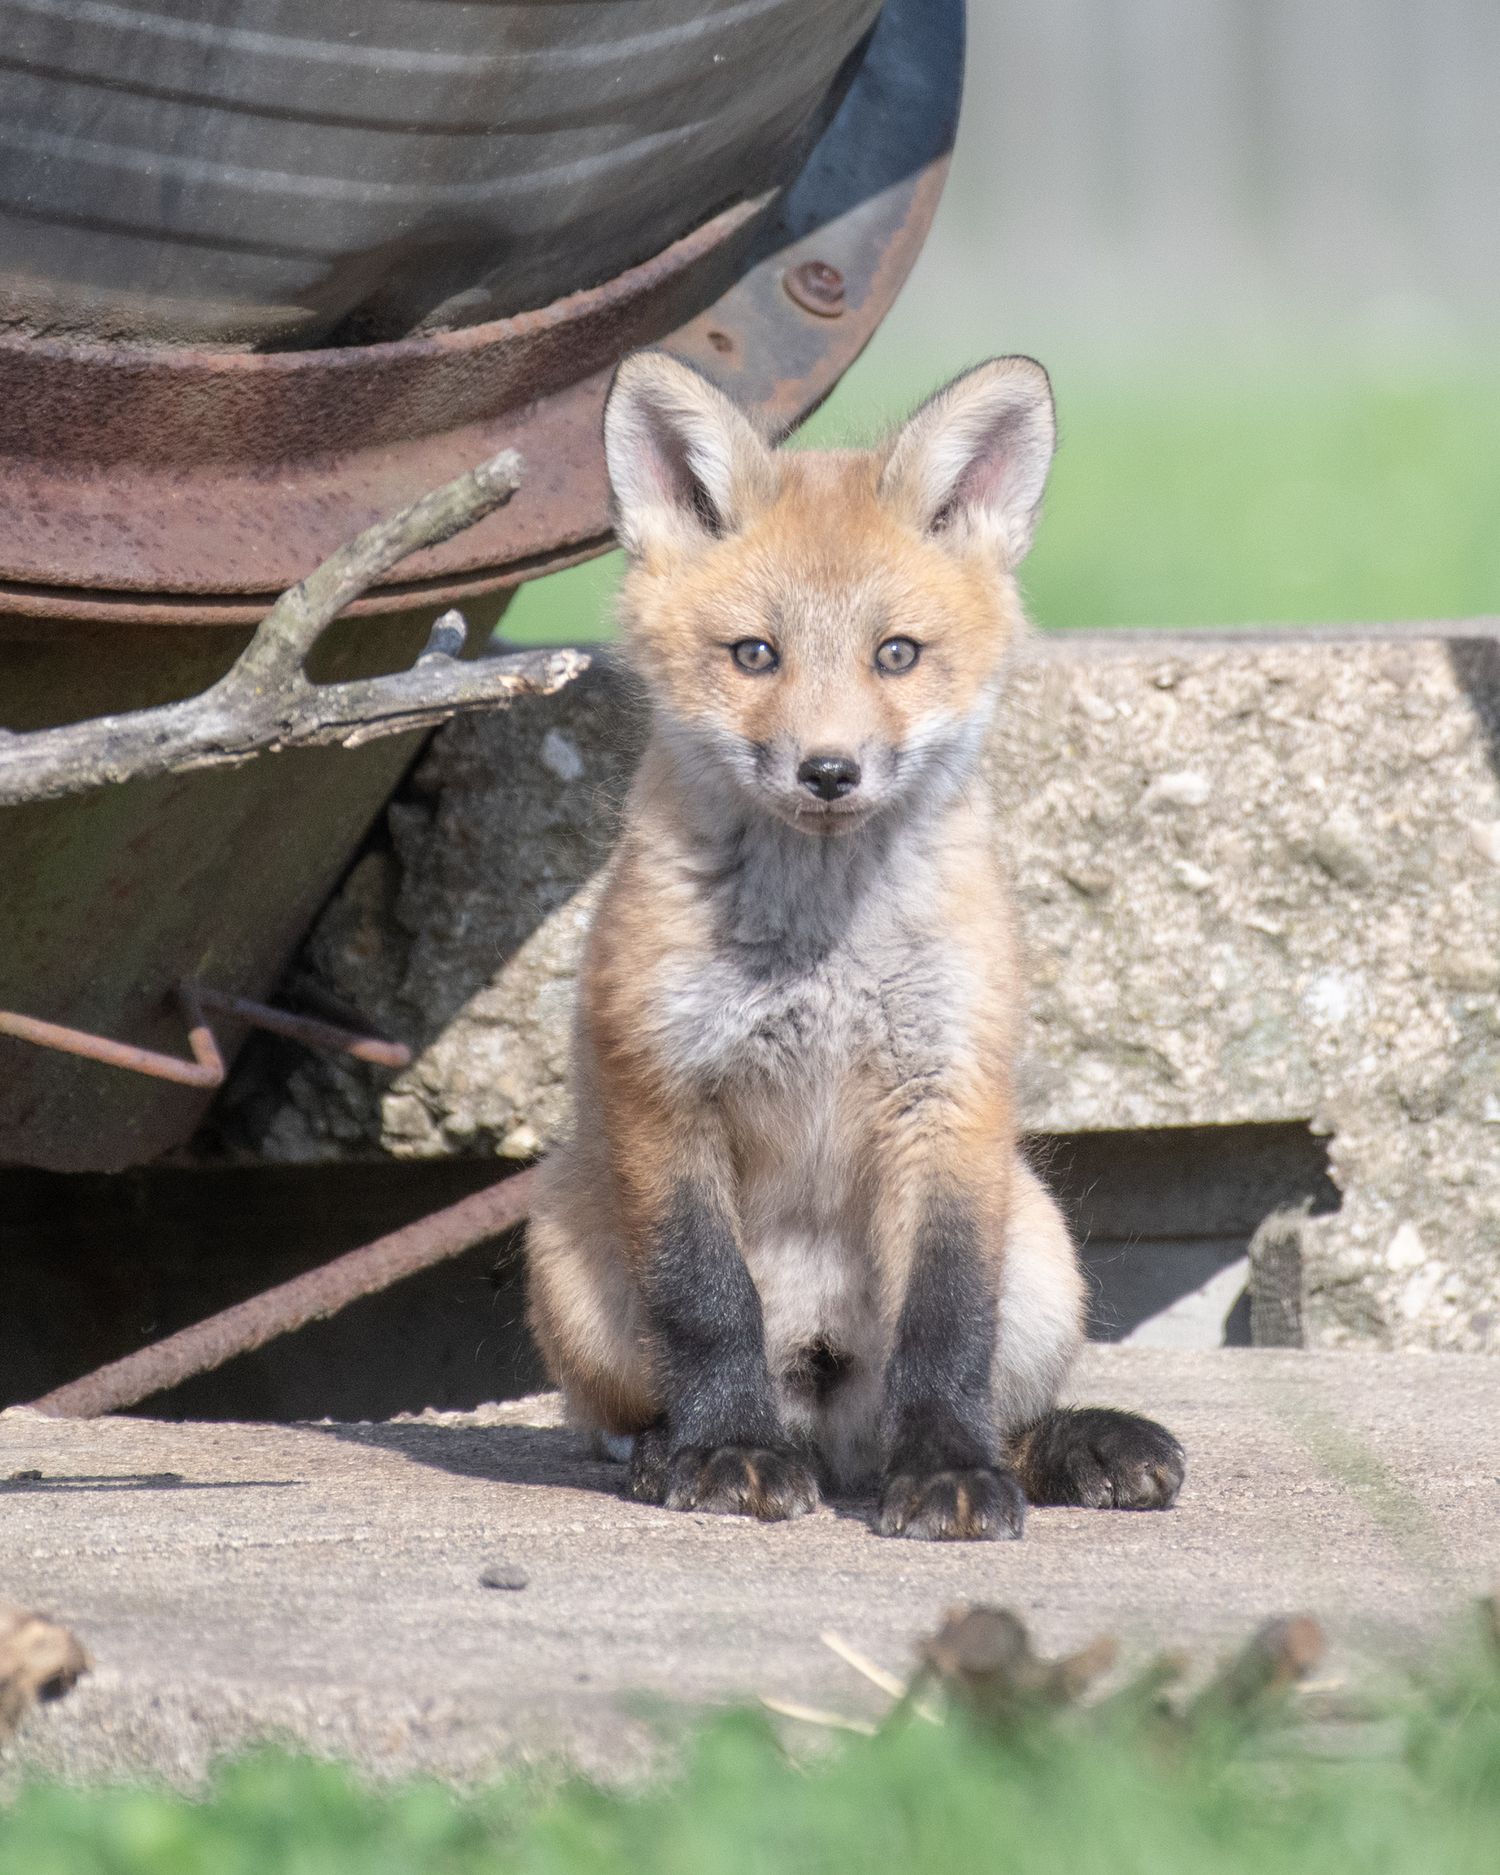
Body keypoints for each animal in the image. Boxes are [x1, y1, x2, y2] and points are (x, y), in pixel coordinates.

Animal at [524, 351, 1185, 1539]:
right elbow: (707, 1302)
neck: (823, 951)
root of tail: (829, 1419)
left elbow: (946, 1321)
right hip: (566, 1241)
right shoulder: (663, 1085)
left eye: (896, 654)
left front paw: (950, 1471)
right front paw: (727, 1451)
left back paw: (1055, 1447)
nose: (829, 771)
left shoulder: (950, 1093)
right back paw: (675, 1451)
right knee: (619, 1416)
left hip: (1043, 1245)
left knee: (996, 1409)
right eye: (754, 654)